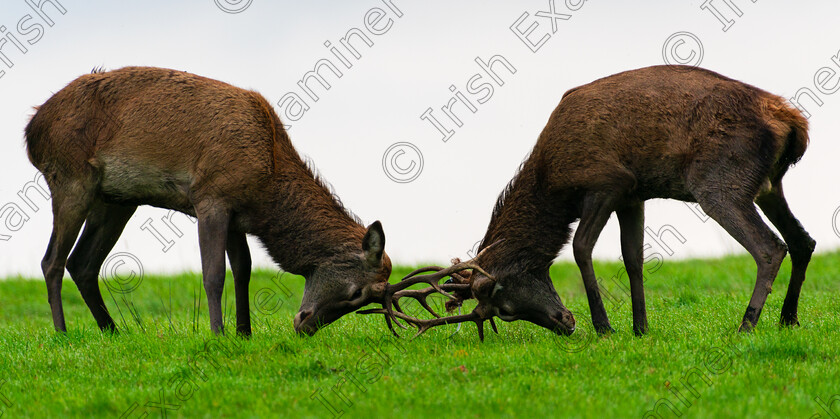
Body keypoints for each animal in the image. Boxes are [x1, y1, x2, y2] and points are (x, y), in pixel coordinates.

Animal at [24, 68, 394, 338]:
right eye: (357, 294)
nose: (304, 325)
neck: (268, 183)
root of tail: (31, 129)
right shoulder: (211, 197)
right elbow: (213, 273)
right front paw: (219, 334)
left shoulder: (237, 215)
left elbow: (243, 270)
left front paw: (245, 333)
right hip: (70, 178)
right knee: (52, 261)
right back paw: (62, 333)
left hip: (117, 199)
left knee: (82, 263)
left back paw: (113, 331)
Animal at [360, 65, 812, 342]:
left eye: (504, 305)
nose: (565, 323)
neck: (552, 181)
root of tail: (794, 122)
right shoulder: (634, 195)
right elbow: (633, 258)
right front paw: (641, 328)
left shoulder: (607, 183)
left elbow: (580, 248)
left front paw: (605, 326)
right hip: (770, 185)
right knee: (803, 241)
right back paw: (788, 319)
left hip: (719, 183)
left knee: (770, 247)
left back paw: (747, 325)